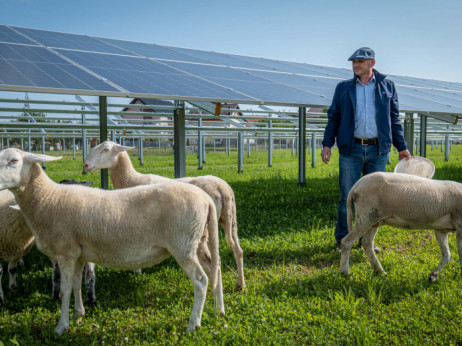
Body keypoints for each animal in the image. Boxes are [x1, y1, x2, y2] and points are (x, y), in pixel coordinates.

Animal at [0, 148, 224, 336]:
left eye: (14, 161)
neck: (47, 199)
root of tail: (207, 199)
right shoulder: (78, 254)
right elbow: (77, 285)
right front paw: (78, 315)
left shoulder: (65, 253)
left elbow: (65, 290)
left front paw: (61, 327)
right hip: (199, 240)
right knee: (215, 268)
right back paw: (219, 310)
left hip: (183, 243)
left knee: (201, 280)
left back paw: (193, 325)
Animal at [85, 140, 247, 290]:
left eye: (106, 150)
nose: (85, 165)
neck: (131, 179)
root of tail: (223, 189)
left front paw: (137, 270)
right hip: (230, 219)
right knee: (238, 250)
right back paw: (241, 285)